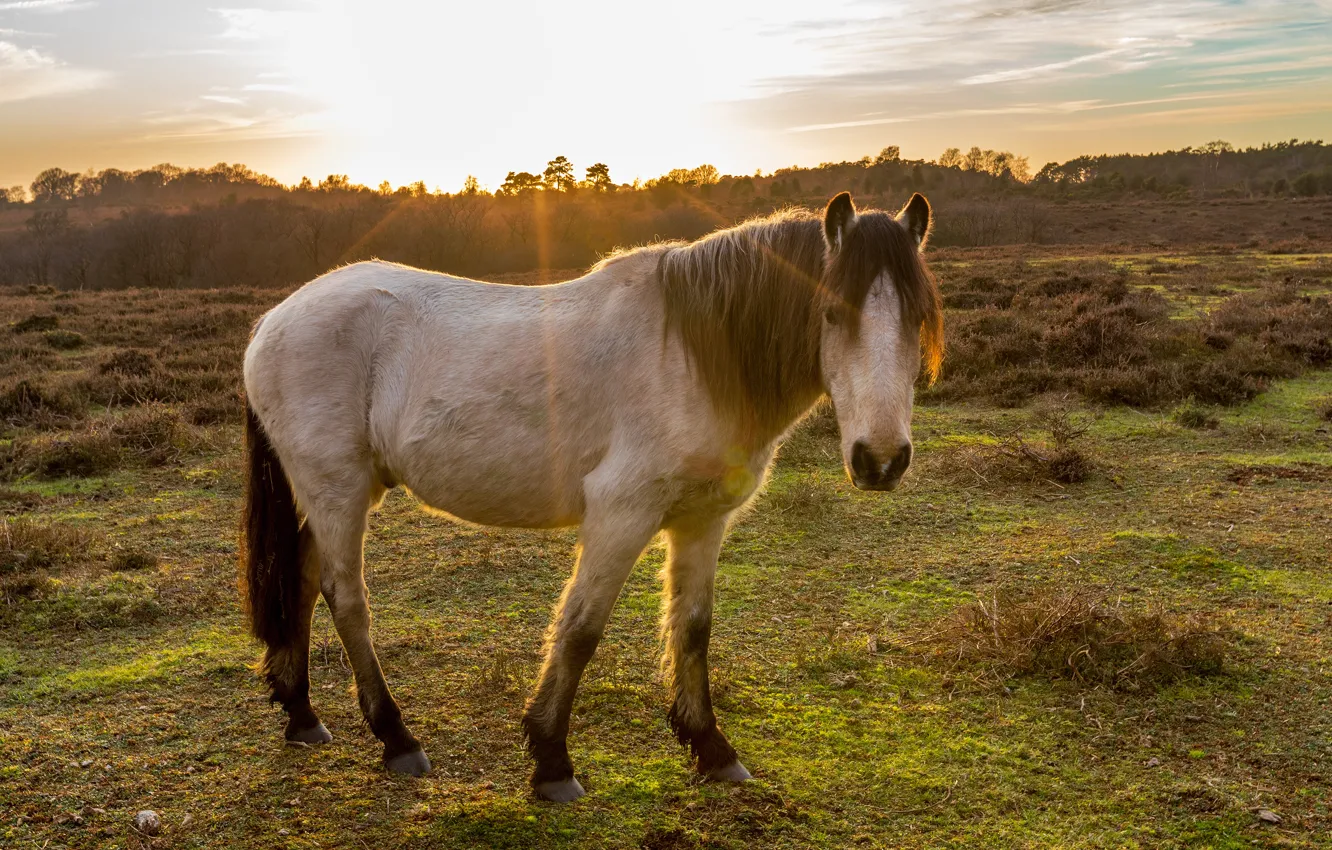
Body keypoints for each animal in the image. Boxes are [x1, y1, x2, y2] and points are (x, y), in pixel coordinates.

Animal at [240, 191, 943, 802]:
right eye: (832, 313)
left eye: (919, 320)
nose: (881, 460)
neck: (689, 355)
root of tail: (273, 322)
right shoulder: (621, 514)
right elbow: (580, 629)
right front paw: (552, 762)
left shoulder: (703, 520)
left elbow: (693, 628)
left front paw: (712, 750)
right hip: (338, 489)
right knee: (345, 596)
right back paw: (397, 739)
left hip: (341, 493)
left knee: (303, 577)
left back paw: (302, 715)